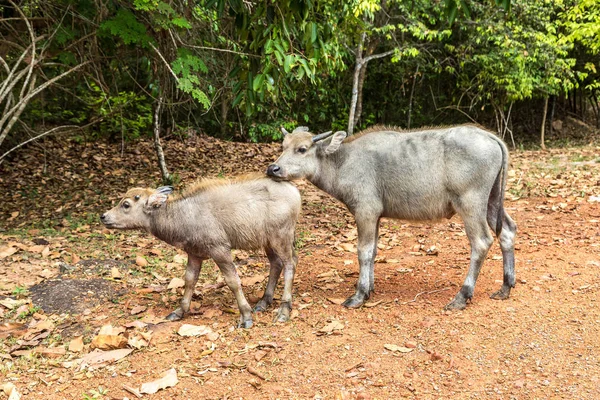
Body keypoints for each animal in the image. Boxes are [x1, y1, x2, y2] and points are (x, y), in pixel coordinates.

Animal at [268, 125, 516, 310]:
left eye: (302, 149)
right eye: (283, 146)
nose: (273, 169)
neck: (343, 161)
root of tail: (491, 137)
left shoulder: (365, 212)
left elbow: (363, 251)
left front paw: (359, 295)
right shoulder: (376, 216)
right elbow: (374, 251)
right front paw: (369, 287)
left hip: (471, 203)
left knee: (481, 242)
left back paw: (462, 296)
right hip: (492, 200)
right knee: (507, 231)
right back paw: (506, 286)